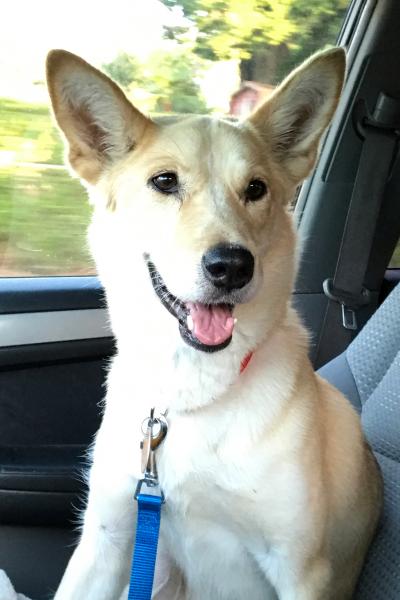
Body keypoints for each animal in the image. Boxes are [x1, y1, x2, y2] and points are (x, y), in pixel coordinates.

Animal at [45, 48, 382, 600]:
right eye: (164, 182)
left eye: (256, 189)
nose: (232, 266)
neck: (191, 388)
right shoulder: (108, 538)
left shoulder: (302, 571)